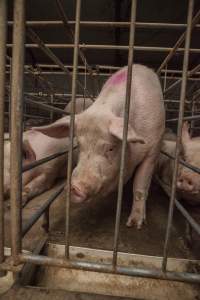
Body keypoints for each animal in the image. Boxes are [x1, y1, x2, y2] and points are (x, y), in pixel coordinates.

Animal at [32, 64, 165, 229]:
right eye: (80, 145)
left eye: (110, 148)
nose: (74, 187)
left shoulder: (153, 148)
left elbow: (140, 187)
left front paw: (134, 224)